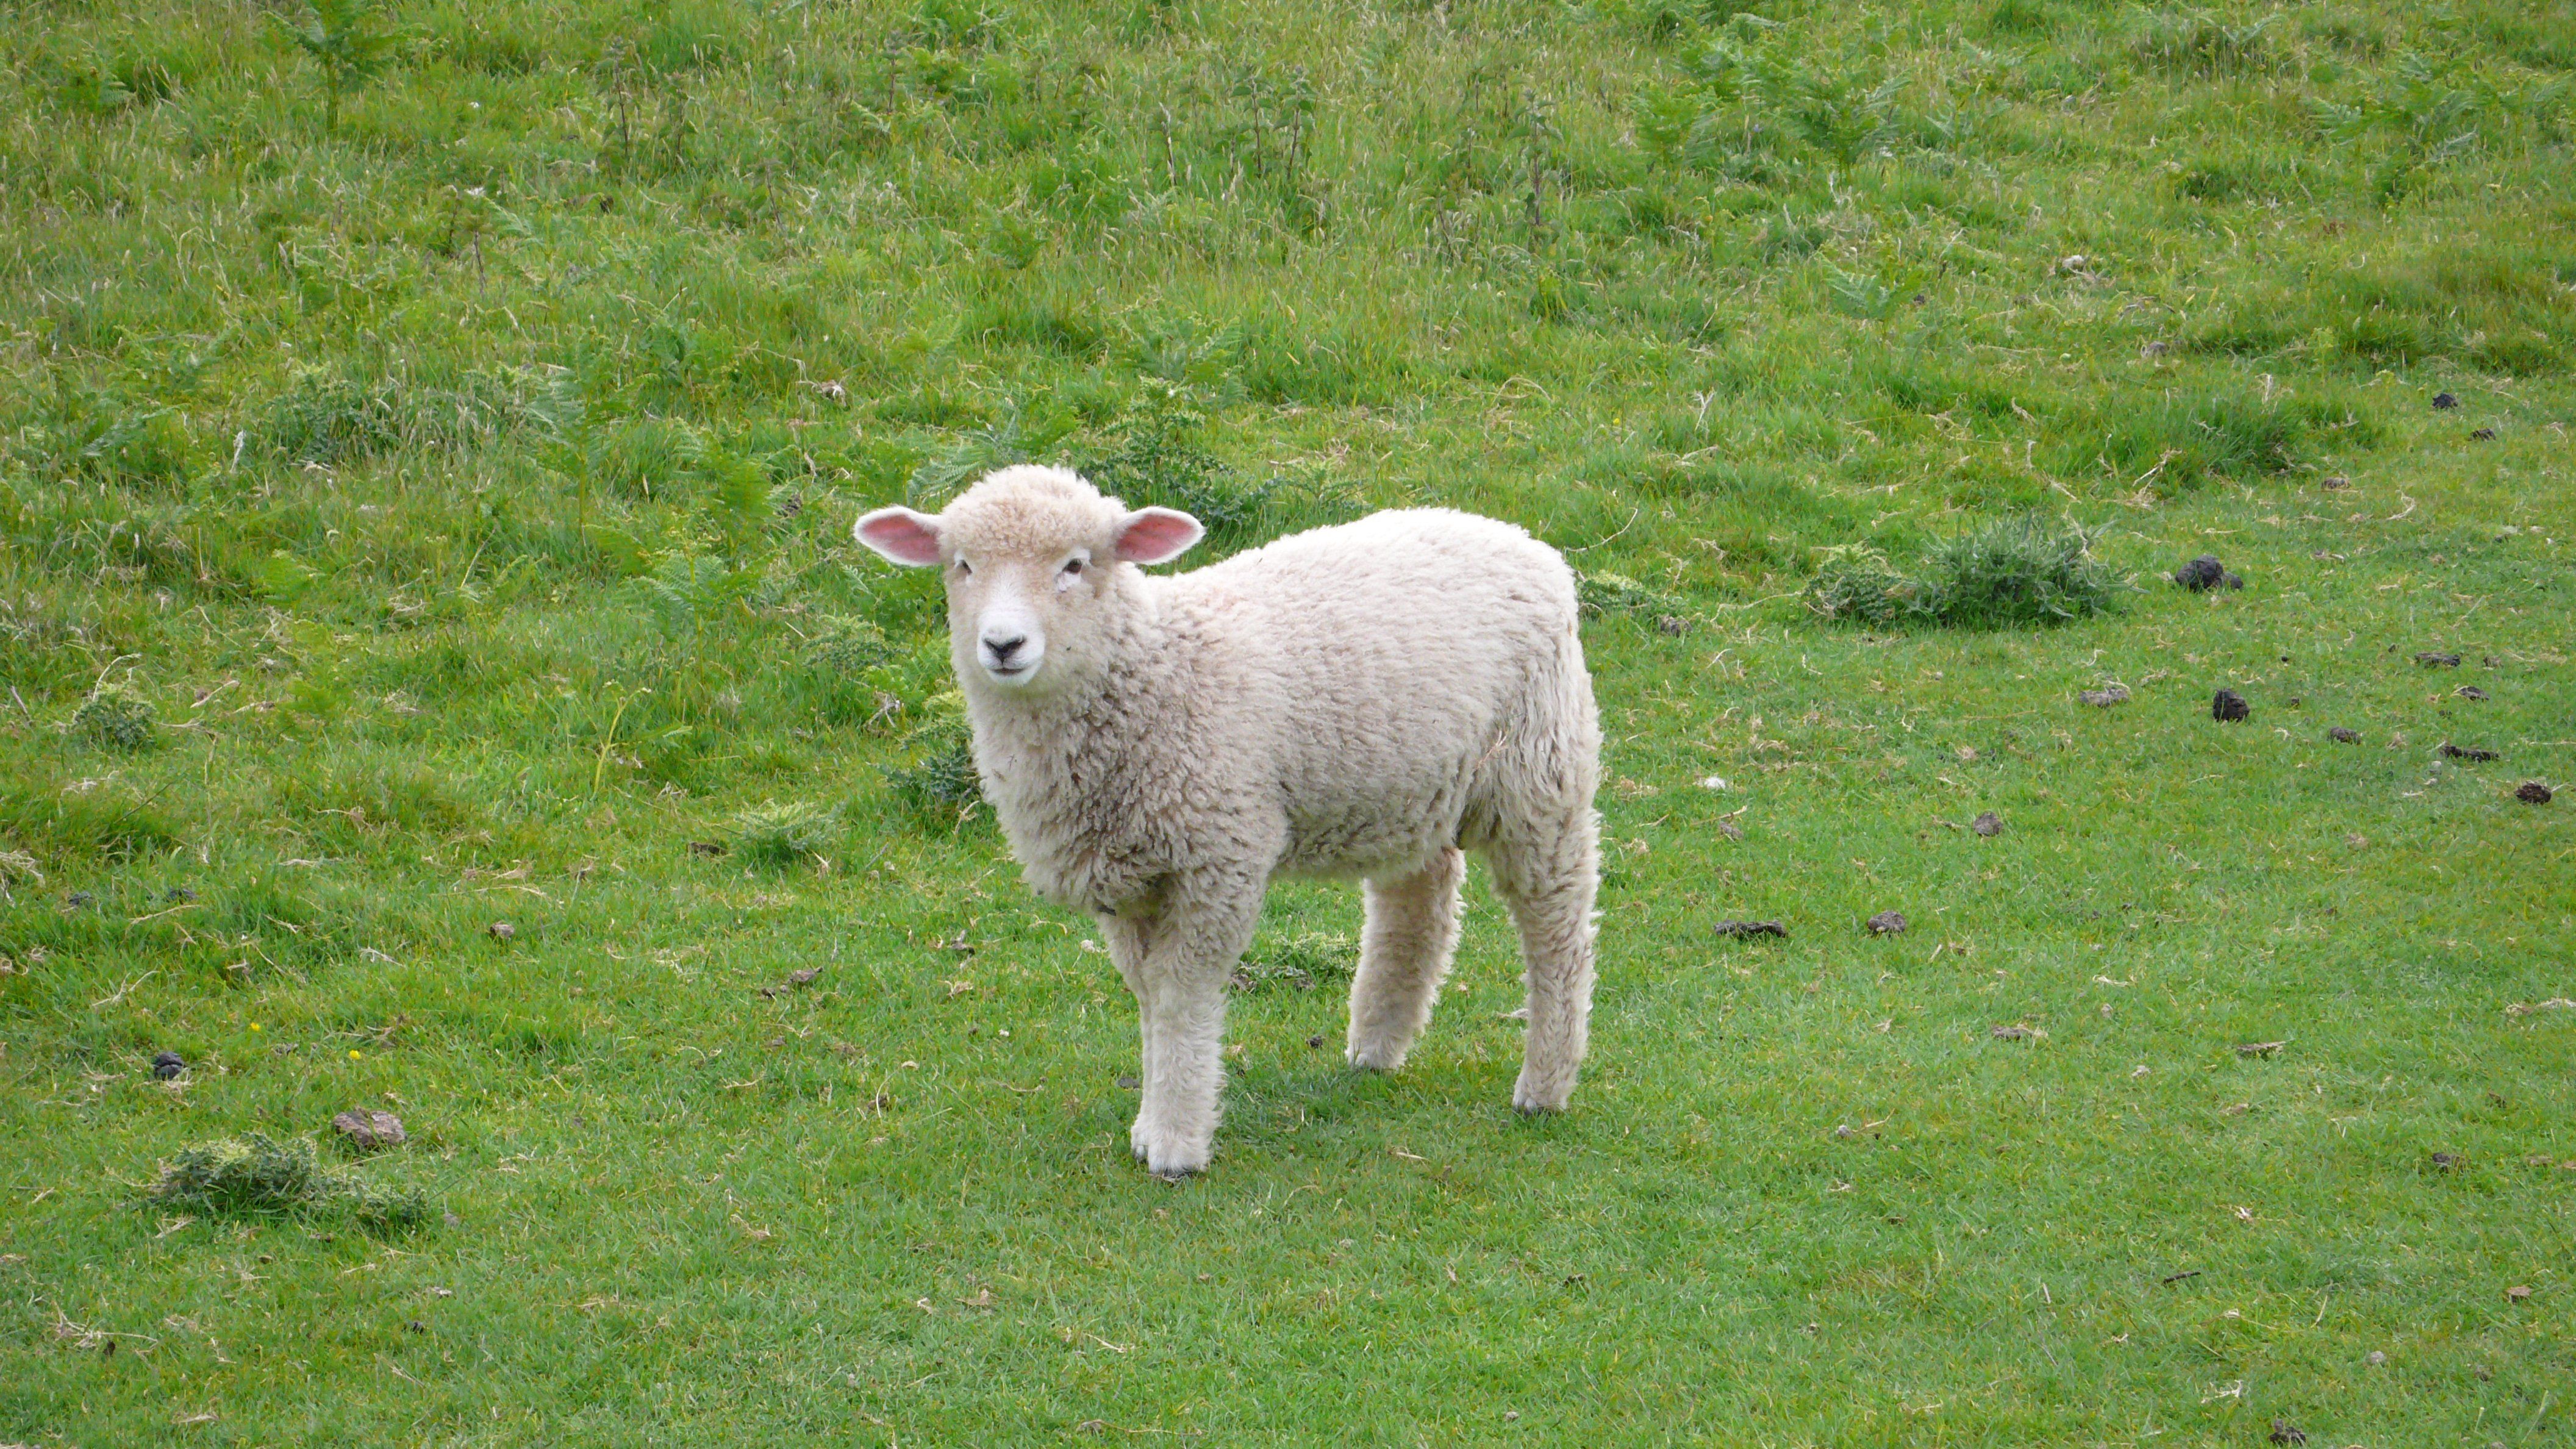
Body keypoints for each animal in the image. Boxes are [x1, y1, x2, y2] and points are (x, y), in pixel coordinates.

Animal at [855, 465, 1600, 1176]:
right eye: (962, 565)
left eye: (1076, 564)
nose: (1004, 644)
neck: (1157, 670)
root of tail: (1516, 538)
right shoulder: (1126, 879)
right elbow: (1148, 995)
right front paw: (1149, 1124)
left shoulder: (1219, 855)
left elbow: (1180, 994)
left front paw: (1177, 1143)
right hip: (1409, 785)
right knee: (1419, 903)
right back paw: (1377, 1045)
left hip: (1539, 772)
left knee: (1557, 928)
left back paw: (1546, 1083)